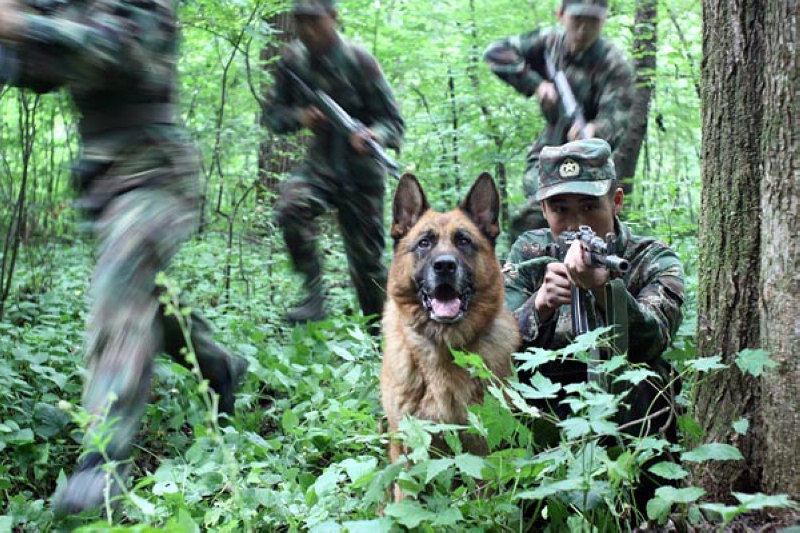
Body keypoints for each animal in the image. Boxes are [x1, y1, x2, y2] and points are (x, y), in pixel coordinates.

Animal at [382, 172, 520, 488]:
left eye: (464, 241)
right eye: (424, 243)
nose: (444, 266)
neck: (444, 348)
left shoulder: (481, 446)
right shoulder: (408, 446)